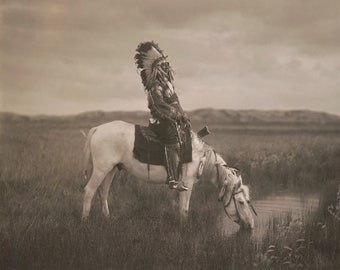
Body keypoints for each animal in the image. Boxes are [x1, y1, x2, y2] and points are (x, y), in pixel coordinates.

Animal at [81, 121, 255, 229]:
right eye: (241, 202)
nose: (251, 225)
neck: (201, 157)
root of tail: (97, 129)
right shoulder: (187, 183)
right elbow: (184, 208)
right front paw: (184, 229)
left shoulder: (179, 185)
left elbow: (176, 205)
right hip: (101, 170)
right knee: (89, 191)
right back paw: (85, 222)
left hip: (110, 170)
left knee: (103, 193)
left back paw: (107, 220)